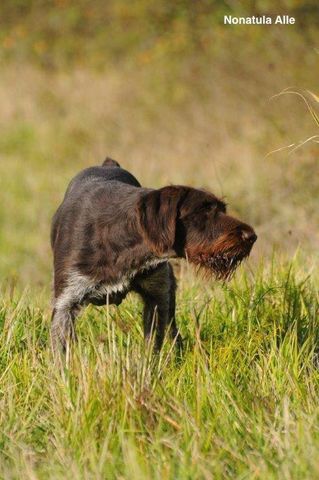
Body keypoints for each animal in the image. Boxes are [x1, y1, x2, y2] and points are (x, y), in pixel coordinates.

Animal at [51, 158, 258, 352]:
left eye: (222, 209)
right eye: (203, 211)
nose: (252, 237)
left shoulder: (157, 297)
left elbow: (152, 348)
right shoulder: (65, 305)